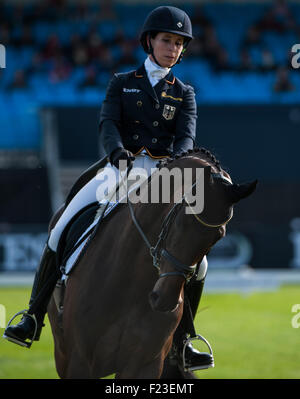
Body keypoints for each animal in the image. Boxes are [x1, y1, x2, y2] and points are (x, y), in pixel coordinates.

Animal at [47, 148, 258, 380]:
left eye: (218, 236)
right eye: (183, 221)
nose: (165, 300)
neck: (132, 280)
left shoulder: (144, 365)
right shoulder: (79, 362)